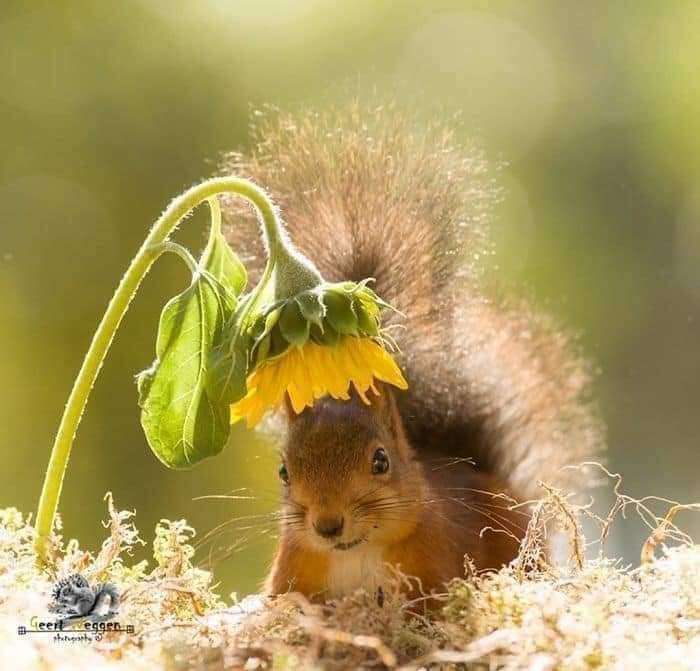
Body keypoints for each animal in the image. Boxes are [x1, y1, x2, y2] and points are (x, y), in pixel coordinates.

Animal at [221, 105, 604, 604]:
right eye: (284, 471)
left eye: (381, 461)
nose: (327, 524)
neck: (356, 553)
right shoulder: (293, 577)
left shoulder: (436, 564)